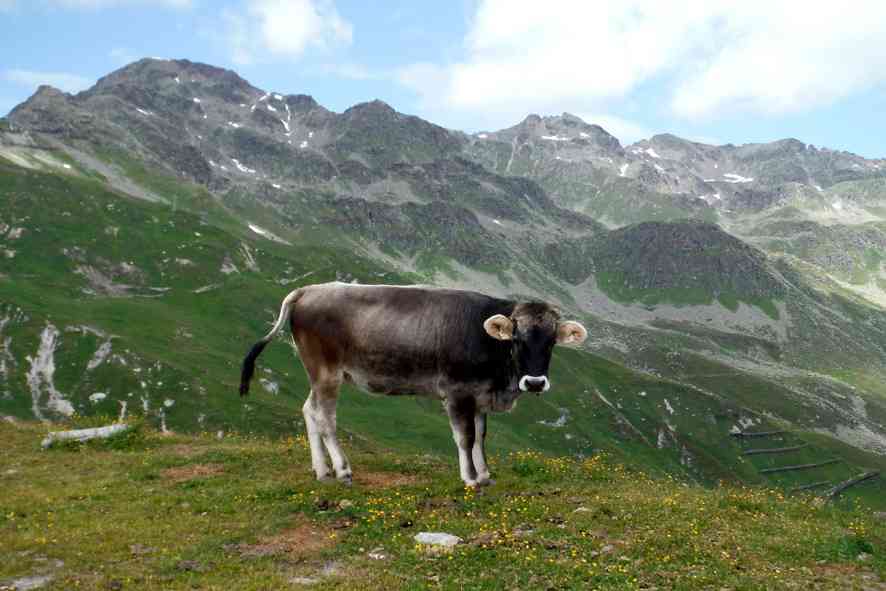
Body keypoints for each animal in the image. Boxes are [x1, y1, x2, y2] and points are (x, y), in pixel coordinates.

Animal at [239, 284, 592, 488]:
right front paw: (470, 479)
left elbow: (481, 436)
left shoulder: (479, 394)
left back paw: (321, 470)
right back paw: (342, 469)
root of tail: (308, 290)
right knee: (325, 418)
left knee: (308, 410)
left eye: (551, 342)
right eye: (517, 339)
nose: (534, 382)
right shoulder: (457, 391)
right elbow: (465, 437)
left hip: (319, 373)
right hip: (326, 372)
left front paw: (485, 474)